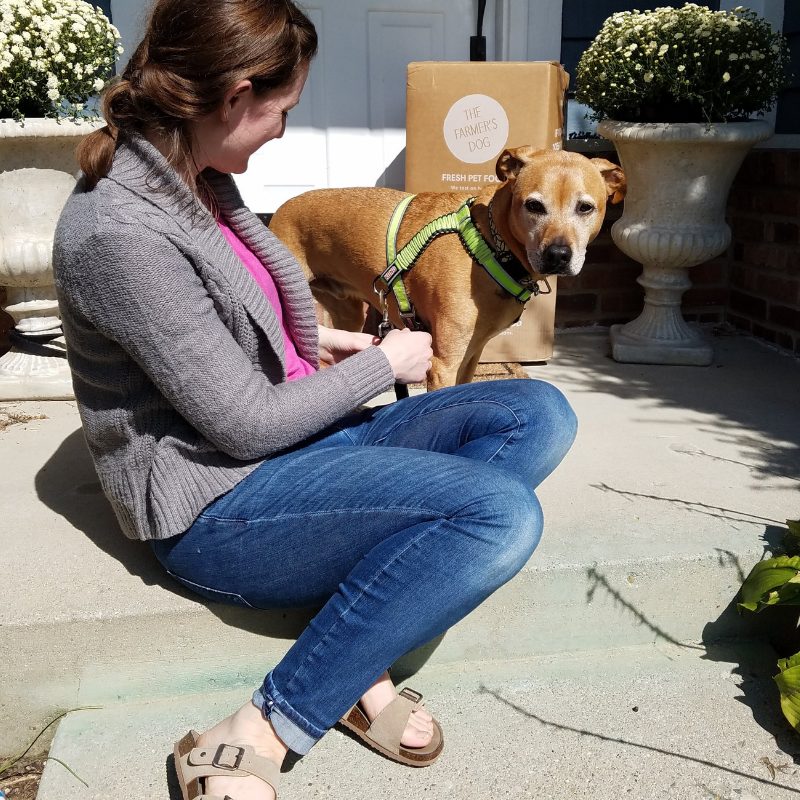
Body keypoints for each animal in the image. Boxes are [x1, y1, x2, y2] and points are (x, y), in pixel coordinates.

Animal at [268, 149, 624, 390]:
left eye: (585, 208)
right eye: (534, 206)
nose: (558, 255)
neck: (490, 246)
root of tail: (279, 210)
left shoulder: (471, 355)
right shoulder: (443, 363)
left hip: (349, 315)